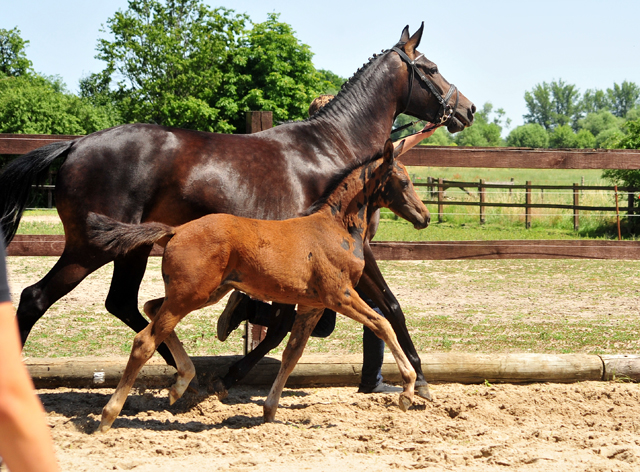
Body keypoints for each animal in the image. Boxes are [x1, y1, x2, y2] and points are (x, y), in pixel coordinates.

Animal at [87, 138, 430, 430]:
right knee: (144, 340)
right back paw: (109, 416)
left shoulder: (312, 306)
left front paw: (269, 410)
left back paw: (181, 383)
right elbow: (382, 323)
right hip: (189, 295)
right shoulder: (340, 295)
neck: (334, 228)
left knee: (151, 307)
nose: (424, 217)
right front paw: (408, 390)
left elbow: (292, 354)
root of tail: (176, 230)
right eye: (403, 181)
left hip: (204, 292)